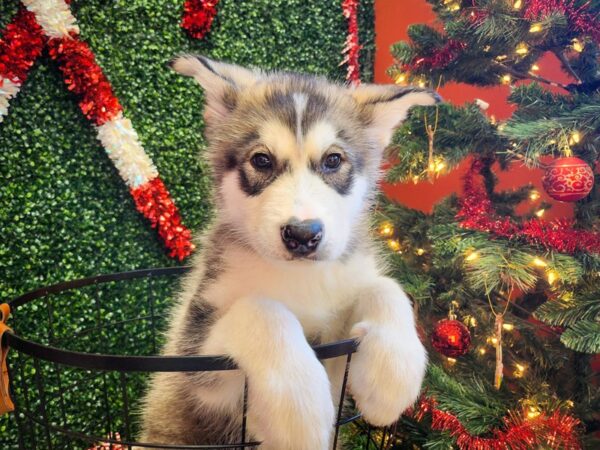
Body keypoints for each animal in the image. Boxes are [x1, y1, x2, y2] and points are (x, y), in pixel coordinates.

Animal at [138, 54, 438, 448]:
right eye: (261, 160)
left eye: (333, 160)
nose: (302, 235)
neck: (298, 278)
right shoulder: (198, 360)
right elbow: (262, 309)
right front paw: (299, 408)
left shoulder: (337, 339)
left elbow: (385, 287)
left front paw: (391, 374)